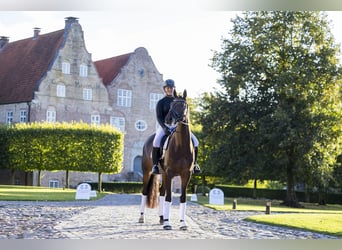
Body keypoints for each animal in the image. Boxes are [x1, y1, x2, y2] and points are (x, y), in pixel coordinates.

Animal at [138, 90, 194, 230]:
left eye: (183, 105)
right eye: (172, 105)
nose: (169, 120)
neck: (181, 145)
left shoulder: (186, 175)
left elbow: (182, 198)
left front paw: (182, 223)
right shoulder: (169, 173)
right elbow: (169, 197)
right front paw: (168, 224)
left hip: (162, 174)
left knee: (161, 192)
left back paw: (162, 218)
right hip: (148, 172)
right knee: (145, 191)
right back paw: (142, 217)